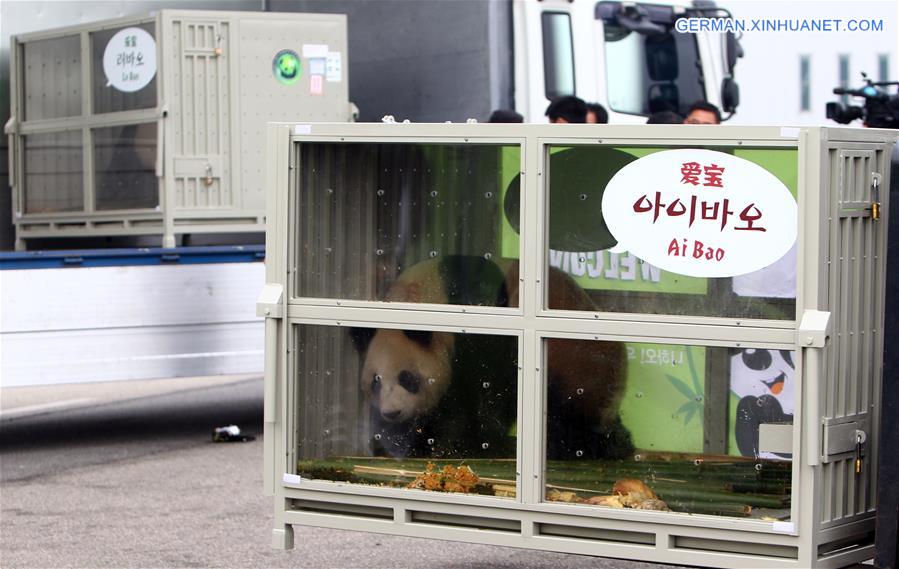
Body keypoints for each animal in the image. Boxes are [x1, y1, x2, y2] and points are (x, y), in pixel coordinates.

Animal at [352, 255, 632, 460]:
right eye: (375, 381)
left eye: (407, 378)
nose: (392, 412)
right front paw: (397, 442)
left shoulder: (480, 342)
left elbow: (475, 398)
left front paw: (452, 444)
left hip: (575, 363)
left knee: (569, 411)